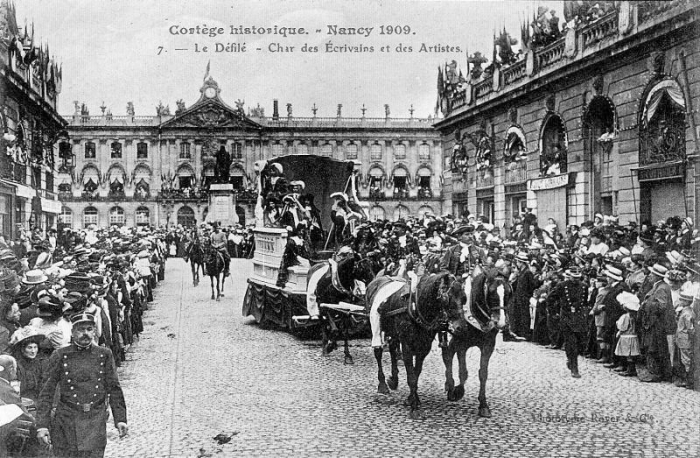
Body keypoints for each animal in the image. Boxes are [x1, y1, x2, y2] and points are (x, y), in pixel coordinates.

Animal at [364, 272, 468, 418]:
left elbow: (416, 372)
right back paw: (382, 384)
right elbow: (411, 376)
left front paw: (412, 398)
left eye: (464, 298)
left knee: (392, 348)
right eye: (446, 299)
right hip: (375, 323)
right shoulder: (406, 345)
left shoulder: (424, 347)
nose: (462, 328)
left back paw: (394, 380)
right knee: (378, 352)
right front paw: (413, 406)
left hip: (393, 331)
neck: (415, 306)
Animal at [442, 272, 508, 418]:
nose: (501, 322)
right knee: (448, 356)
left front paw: (483, 405)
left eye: (508, 293)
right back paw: (450, 386)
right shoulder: (461, 342)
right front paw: (457, 391)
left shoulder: (488, 345)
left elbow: (483, 373)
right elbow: (463, 371)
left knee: (448, 354)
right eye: (492, 293)